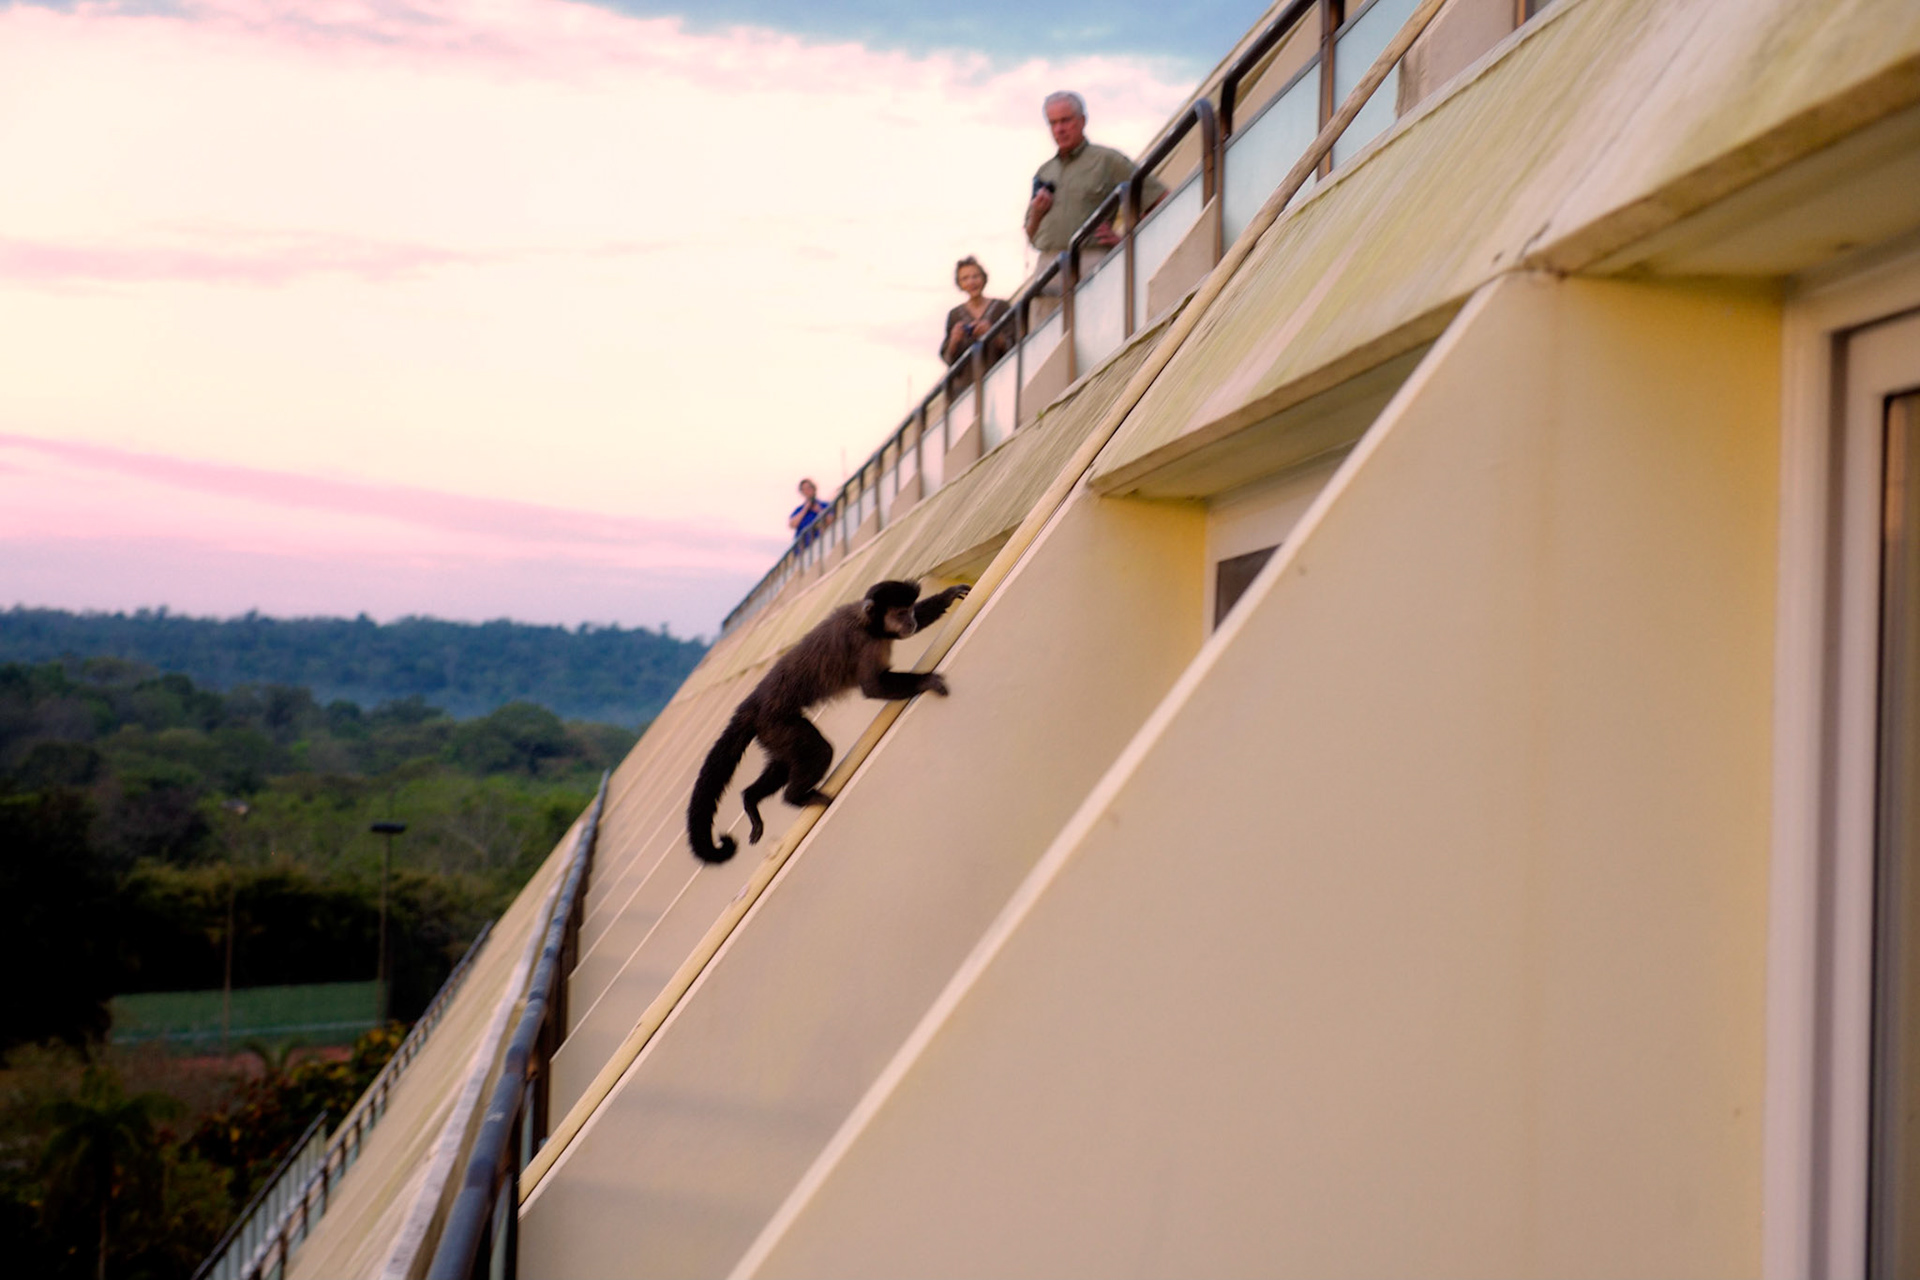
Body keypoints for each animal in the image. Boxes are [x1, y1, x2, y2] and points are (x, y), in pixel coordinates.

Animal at [687, 579, 970, 863]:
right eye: (901, 613)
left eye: (910, 610)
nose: (910, 620)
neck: (868, 624)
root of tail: (753, 703)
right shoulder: (864, 643)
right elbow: (874, 687)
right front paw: (926, 681)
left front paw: (948, 596)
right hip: (776, 723)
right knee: (819, 750)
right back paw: (795, 798)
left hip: (770, 732)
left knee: (782, 765)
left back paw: (751, 800)